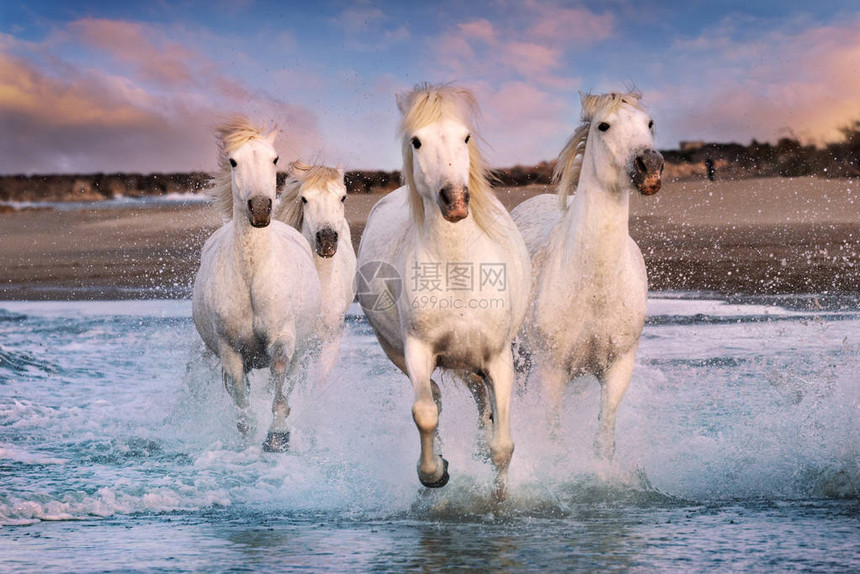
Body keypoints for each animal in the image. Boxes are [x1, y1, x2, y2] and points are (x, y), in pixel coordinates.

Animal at [191, 118, 320, 454]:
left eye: (274, 159)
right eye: (233, 161)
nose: (260, 208)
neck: (252, 278)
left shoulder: (282, 340)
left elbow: (279, 383)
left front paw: (277, 437)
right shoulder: (230, 352)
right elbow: (240, 397)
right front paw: (247, 435)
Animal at [510, 93, 664, 464]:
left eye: (649, 123)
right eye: (603, 125)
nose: (650, 167)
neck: (593, 285)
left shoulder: (618, 368)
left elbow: (604, 439)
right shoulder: (552, 371)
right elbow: (553, 438)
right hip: (519, 358)